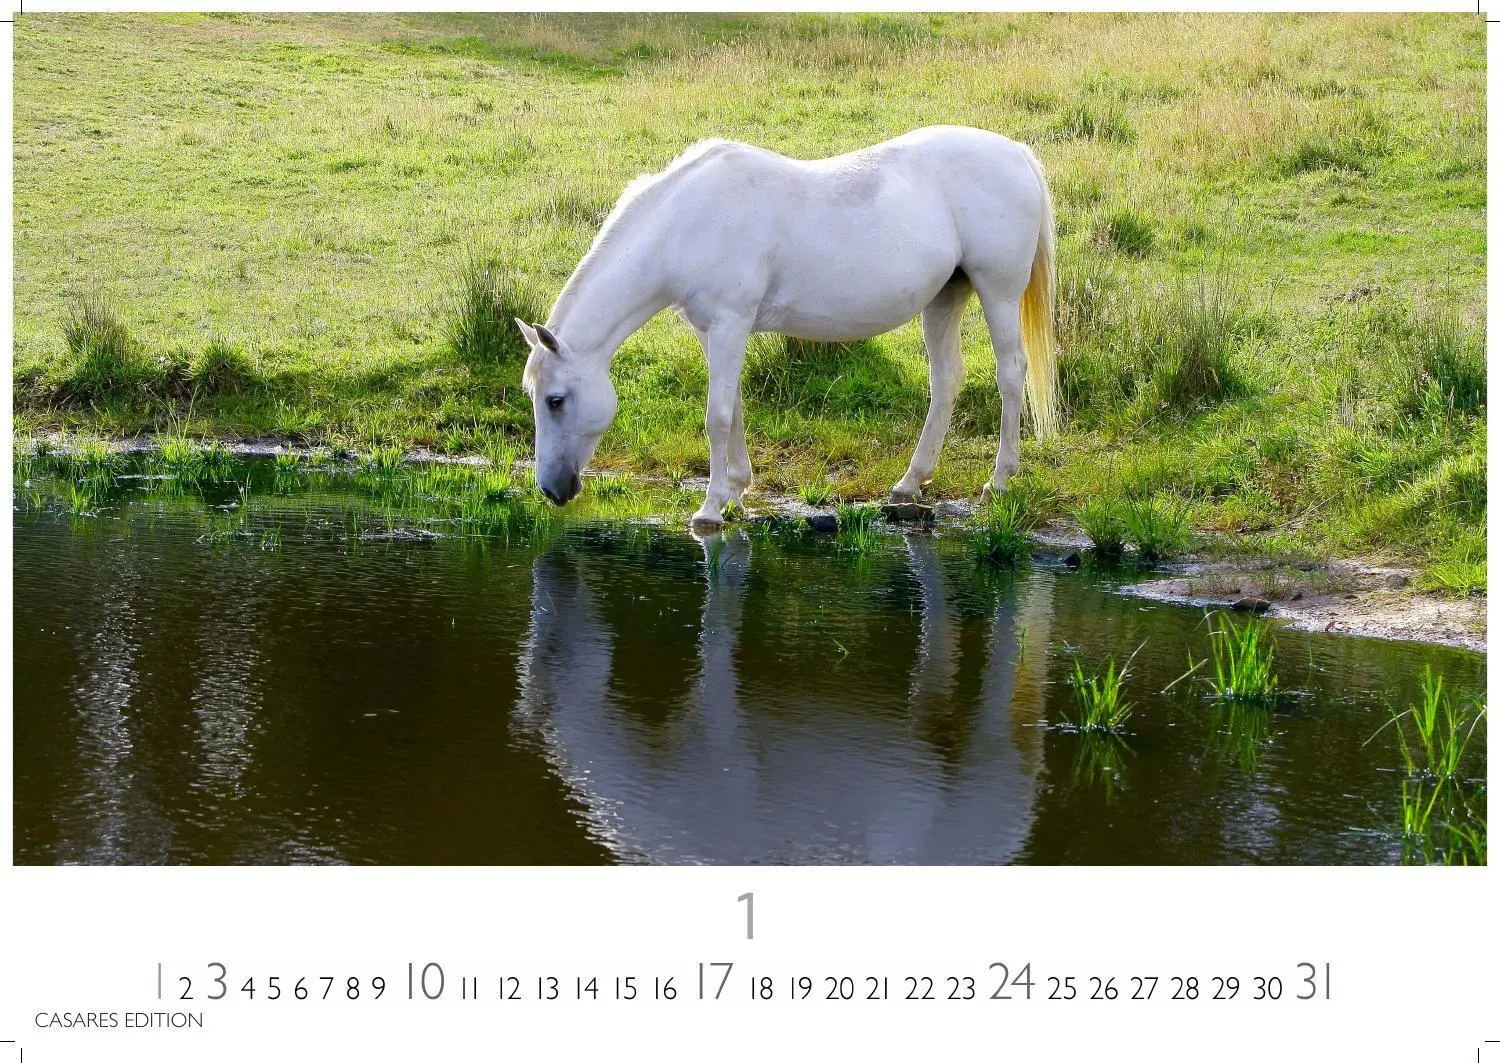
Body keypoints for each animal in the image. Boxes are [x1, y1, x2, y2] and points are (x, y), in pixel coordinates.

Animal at [514, 124, 1059, 526]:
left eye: (555, 400)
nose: (552, 489)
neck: (687, 222)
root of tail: (1016, 154)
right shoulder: (713, 330)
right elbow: (732, 407)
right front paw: (735, 489)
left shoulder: (730, 324)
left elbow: (717, 416)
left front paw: (710, 508)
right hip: (945, 298)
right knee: (946, 381)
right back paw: (909, 483)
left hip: (998, 292)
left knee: (1011, 374)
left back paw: (999, 480)